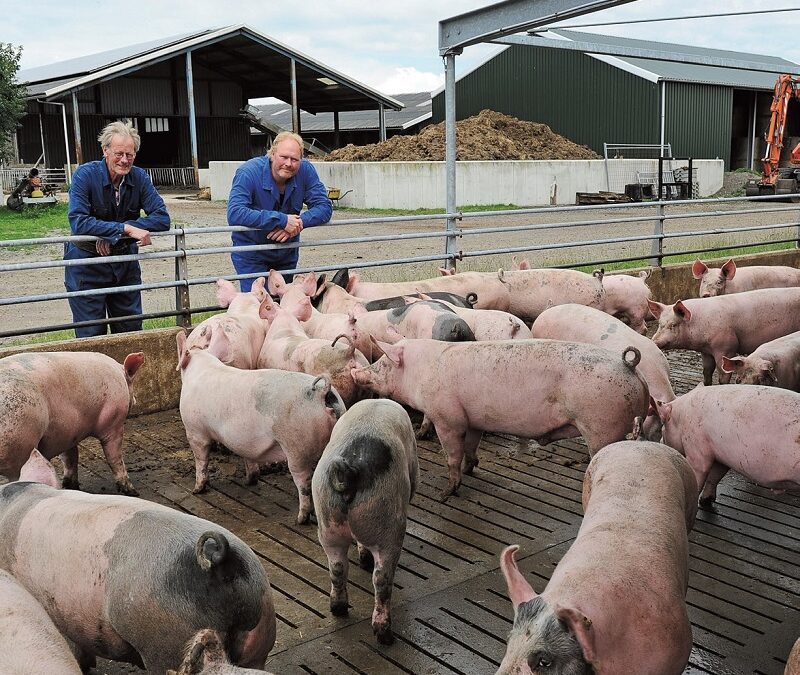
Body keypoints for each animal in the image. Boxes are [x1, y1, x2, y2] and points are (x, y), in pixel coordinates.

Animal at [0, 352, 144, 494]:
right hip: (19, 444)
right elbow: (114, 457)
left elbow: (70, 457)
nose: (135, 400)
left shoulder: (66, 432)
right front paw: (132, 491)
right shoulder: (113, 423)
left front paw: (71, 485)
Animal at [177, 328, 344, 524]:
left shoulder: (195, 430)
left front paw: (197, 489)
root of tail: (322, 391)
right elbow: (248, 457)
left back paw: (300, 519)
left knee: (303, 482)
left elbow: (201, 459)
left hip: (296, 446)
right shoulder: (242, 440)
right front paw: (250, 480)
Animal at [310, 398, 418, 648]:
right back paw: (385, 636)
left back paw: (338, 608)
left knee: (337, 567)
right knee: (381, 579)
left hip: (327, 520)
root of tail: (350, 470)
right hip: (387, 523)